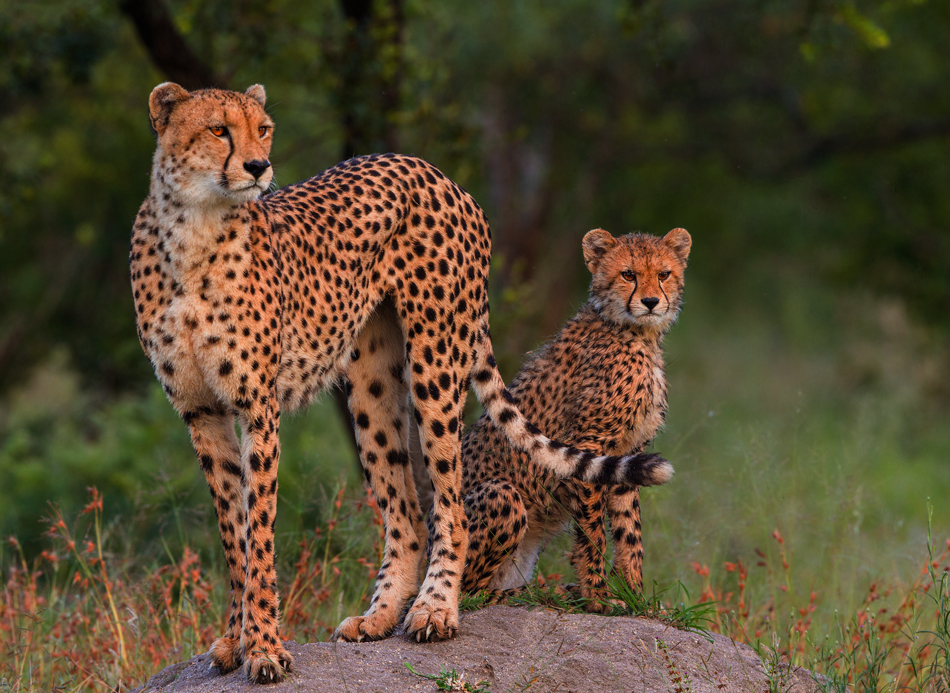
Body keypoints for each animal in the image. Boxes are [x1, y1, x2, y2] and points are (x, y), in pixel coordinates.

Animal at [452, 227, 690, 612]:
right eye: (628, 274)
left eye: (664, 274)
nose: (652, 301)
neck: (635, 332)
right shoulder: (587, 447)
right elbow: (593, 534)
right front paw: (598, 598)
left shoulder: (628, 455)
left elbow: (629, 532)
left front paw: (637, 598)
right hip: (501, 496)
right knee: (468, 592)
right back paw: (539, 594)